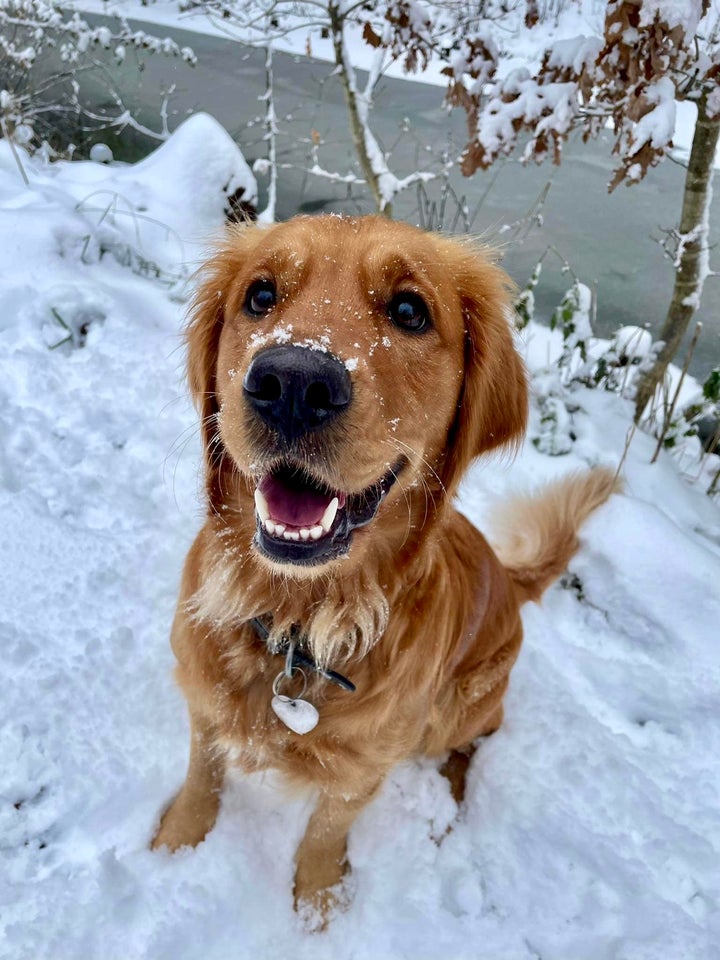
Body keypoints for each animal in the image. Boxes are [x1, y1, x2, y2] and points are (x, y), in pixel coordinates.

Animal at [153, 216, 620, 924]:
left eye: (408, 311)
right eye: (260, 295)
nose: (293, 384)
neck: (298, 624)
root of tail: (509, 580)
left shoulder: (363, 768)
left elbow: (325, 830)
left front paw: (318, 904)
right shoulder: (202, 696)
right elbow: (202, 774)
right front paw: (178, 842)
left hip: (457, 710)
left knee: (476, 741)